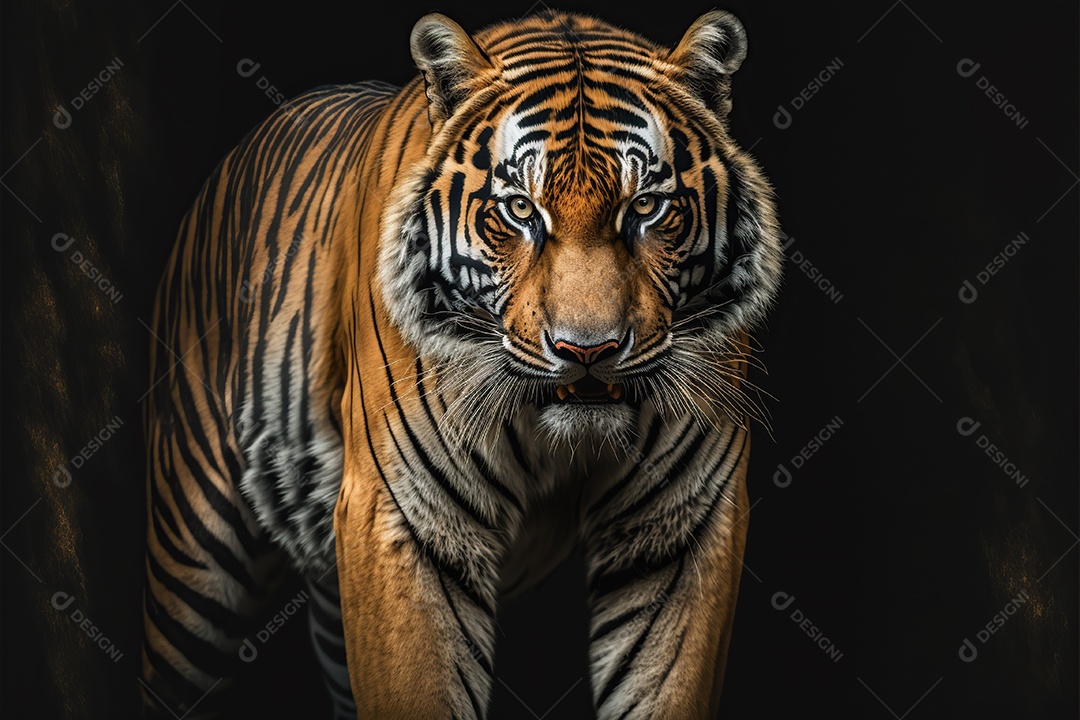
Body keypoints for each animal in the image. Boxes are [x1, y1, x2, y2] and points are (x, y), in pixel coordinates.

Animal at [141, 8, 782, 719]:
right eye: (521, 210)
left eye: (644, 207)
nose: (588, 351)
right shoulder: (405, 516)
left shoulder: (677, 525)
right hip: (193, 554)